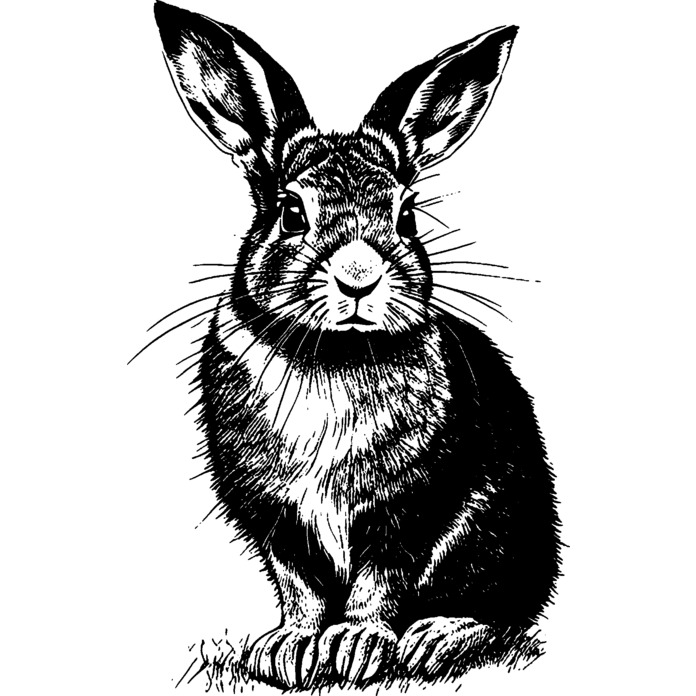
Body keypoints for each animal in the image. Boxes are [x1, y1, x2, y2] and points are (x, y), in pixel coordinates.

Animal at [154, 1, 561, 688]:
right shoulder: (278, 523)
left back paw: (437, 638)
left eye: (406, 216)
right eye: (290, 213)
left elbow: (380, 582)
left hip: (501, 535)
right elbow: (300, 588)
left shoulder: (408, 513)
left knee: (501, 614)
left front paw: (357, 646)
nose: (358, 276)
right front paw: (289, 650)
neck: (334, 355)